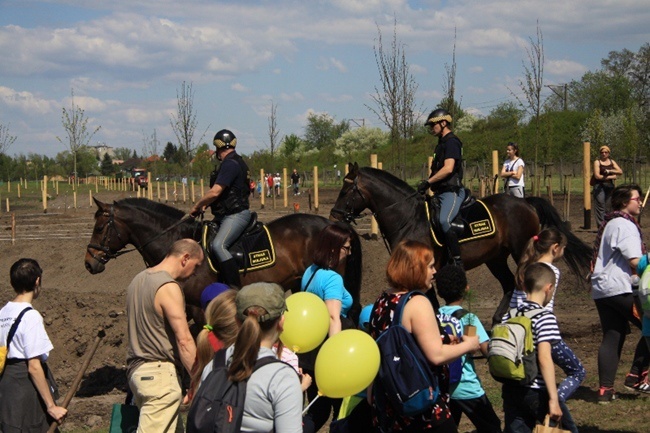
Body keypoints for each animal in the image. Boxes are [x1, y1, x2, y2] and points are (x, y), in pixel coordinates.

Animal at [330, 164, 588, 322]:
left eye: (345, 190)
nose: (334, 215)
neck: (409, 218)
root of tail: (526, 203)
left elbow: (432, 302)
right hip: (495, 258)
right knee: (507, 284)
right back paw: (497, 321)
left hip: (520, 250)